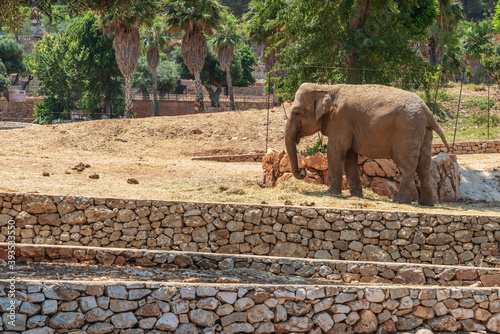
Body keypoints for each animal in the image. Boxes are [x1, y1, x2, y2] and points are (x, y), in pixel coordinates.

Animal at [286, 82, 454, 205]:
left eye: (296, 112)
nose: (303, 172)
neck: (326, 87)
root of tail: (428, 111)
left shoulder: (340, 120)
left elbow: (336, 151)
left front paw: (330, 193)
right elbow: (349, 156)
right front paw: (356, 196)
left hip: (407, 131)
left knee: (407, 164)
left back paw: (400, 201)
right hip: (424, 132)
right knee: (423, 165)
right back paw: (426, 204)